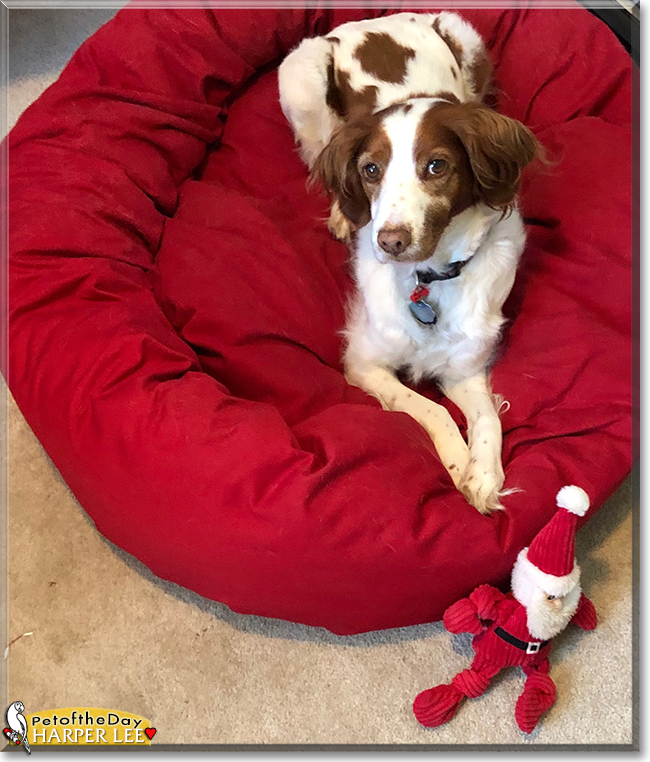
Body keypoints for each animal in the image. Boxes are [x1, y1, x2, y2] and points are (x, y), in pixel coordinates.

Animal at [278, 11, 536, 510]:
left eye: (436, 166)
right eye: (370, 170)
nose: (390, 242)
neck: (430, 279)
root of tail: (373, 19)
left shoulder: (465, 368)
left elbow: (488, 418)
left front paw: (485, 473)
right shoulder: (364, 362)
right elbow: (430, 408)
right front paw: (457, 459)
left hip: (466, 38)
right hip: (300, 75)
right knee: (319, 149)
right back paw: (341, 213)